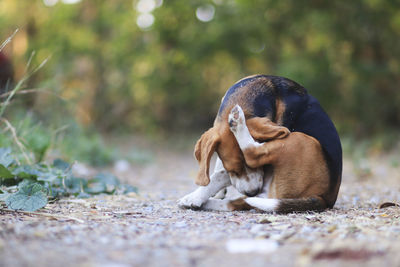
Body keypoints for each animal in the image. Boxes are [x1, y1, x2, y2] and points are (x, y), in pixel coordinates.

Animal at [179, 75, 344, 214]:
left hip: (302, 141)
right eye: (234, 169)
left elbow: (219, 175)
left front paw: (197, 195)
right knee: (237, 203)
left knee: (252, 153)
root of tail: (324, 199)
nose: (253, 192)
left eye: (261, 167)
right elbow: (220, 170)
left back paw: (238, 122)